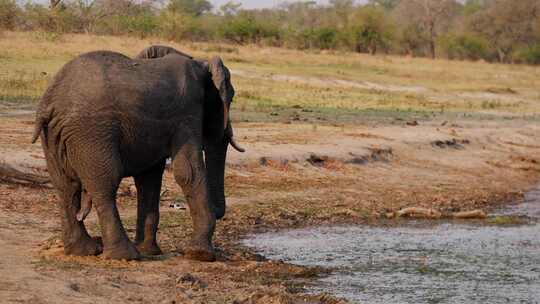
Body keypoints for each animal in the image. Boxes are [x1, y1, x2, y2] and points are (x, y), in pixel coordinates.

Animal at [32, 45, 244, 262]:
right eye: (231, 97)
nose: (218, 211)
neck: (201, 63)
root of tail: (50, 102)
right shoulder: (187, 113)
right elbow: (187, 171)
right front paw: (200, 254)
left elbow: (148, 178)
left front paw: (150, 251)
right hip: (90, 133)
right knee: (105, 184)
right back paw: (124, 255)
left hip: (53, 136)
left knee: (65, 187)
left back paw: (84, 251)